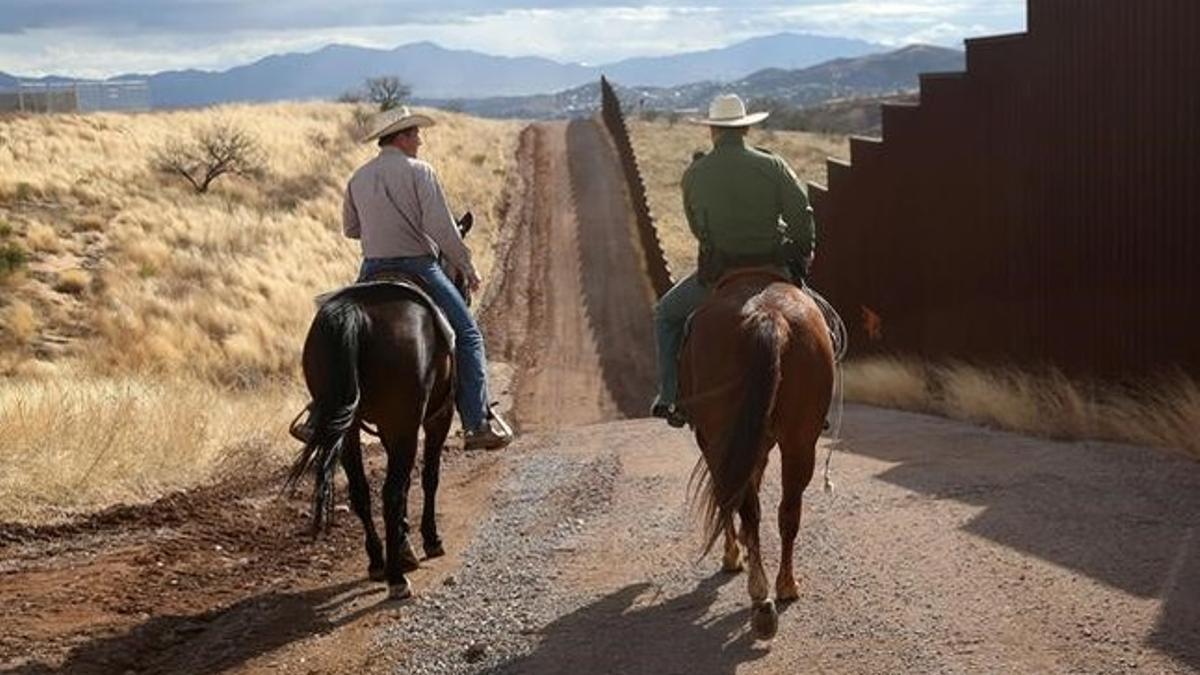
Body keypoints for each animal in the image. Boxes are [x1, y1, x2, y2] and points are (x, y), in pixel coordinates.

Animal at [676, 266, 835, 634]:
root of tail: (768, 315)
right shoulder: (757, 445)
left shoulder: (713, 442)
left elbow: (727, 496)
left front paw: (733, 555)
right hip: (799, 441)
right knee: (787, 511)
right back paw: (784, 587)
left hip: (721, 437)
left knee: (745, 506)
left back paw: (761, 597)